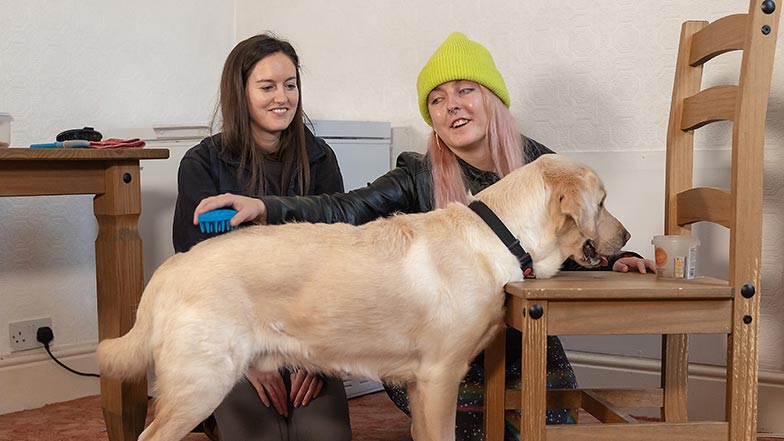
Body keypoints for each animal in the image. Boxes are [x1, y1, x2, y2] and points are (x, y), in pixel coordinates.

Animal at [98, 154, 628, 440]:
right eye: (601, 203)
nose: (624, 237)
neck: (500, 235)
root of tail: (169, 269)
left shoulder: (420, 386)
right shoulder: (440, 377)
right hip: (201, 382)